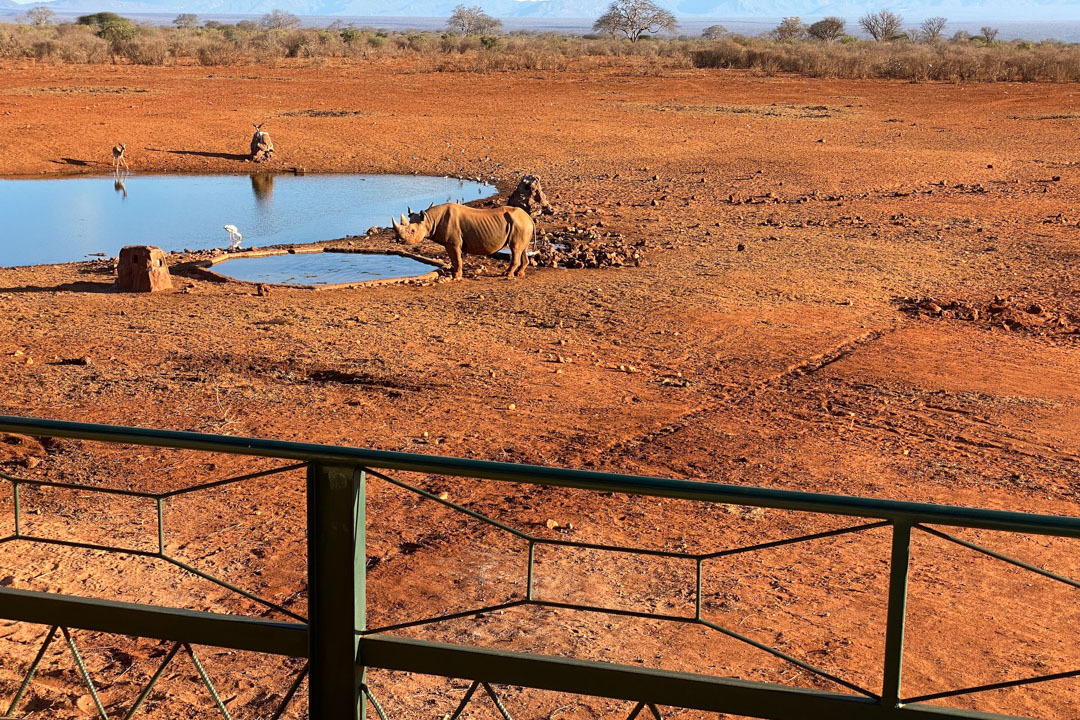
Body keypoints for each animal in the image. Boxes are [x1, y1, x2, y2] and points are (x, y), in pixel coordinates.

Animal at [391, 202, 535, 280]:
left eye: (412, 231)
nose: (399, 240)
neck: (429, 220)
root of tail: (529, 218)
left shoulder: (453, 243)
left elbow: (457, 259)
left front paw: (456, 276)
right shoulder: (449, 243)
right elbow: (453, 259)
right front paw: (454, 273)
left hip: (520, 224)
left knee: (515, 249)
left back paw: (507, 275)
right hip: (522, 225)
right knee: (521, 249)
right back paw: (519, 274)